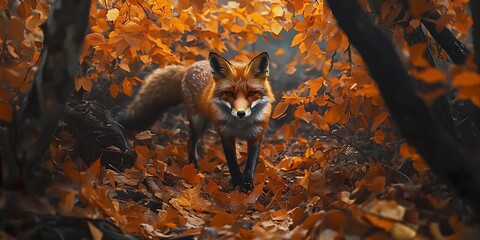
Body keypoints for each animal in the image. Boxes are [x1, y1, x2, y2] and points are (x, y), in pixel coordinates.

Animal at [119, 52, 274, 191]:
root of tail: (189, 67)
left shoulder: (256, 136)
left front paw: (247, 185)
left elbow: (251, 164)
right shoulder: (226, 135)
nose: (241, 113)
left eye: (252, 93)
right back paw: (194, 166)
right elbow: (233, 164)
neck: (240, 126)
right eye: (229, 94)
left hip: (206, 123)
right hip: (197, 122)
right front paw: (237, 184)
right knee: (190, 142)